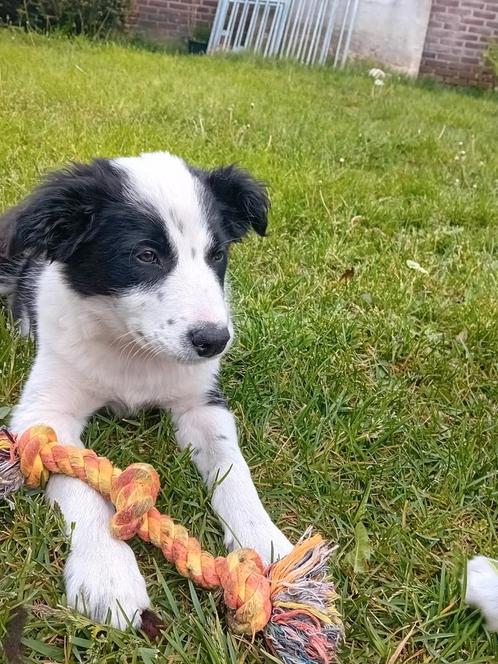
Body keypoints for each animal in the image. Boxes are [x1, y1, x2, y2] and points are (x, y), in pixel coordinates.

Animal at [0, 153, 292, 632]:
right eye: (146, 255)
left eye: (217, 254)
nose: (215, 341)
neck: (132, 350)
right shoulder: (45, 410)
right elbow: (80, 482)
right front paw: (107, 576)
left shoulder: (202, 403)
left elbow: (233, 467)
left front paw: (265, 541)